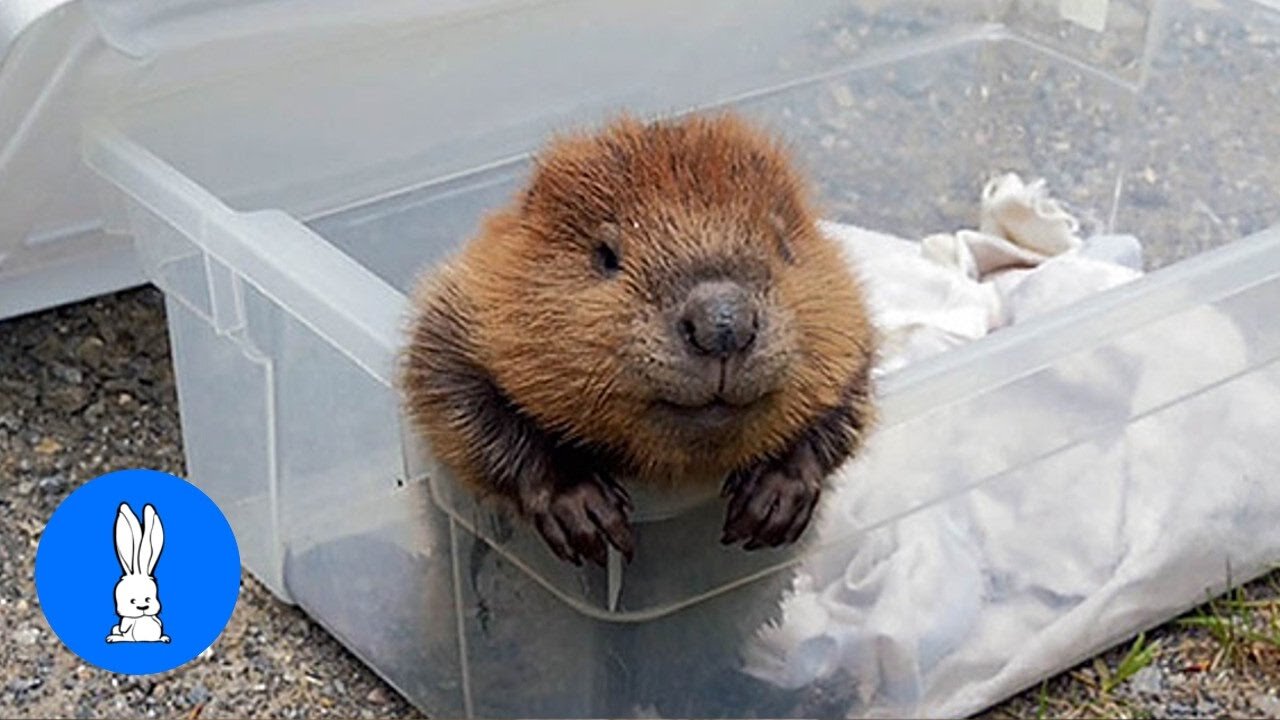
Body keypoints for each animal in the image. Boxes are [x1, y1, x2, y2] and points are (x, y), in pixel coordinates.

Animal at [404, 112, 875, 566]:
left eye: (783, 246)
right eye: (607, 255)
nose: (723, 325)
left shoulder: (850, 327)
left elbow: (844, 401)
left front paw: (773, 497)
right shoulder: (454, 313)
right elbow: (458, 402)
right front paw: (583, 510)